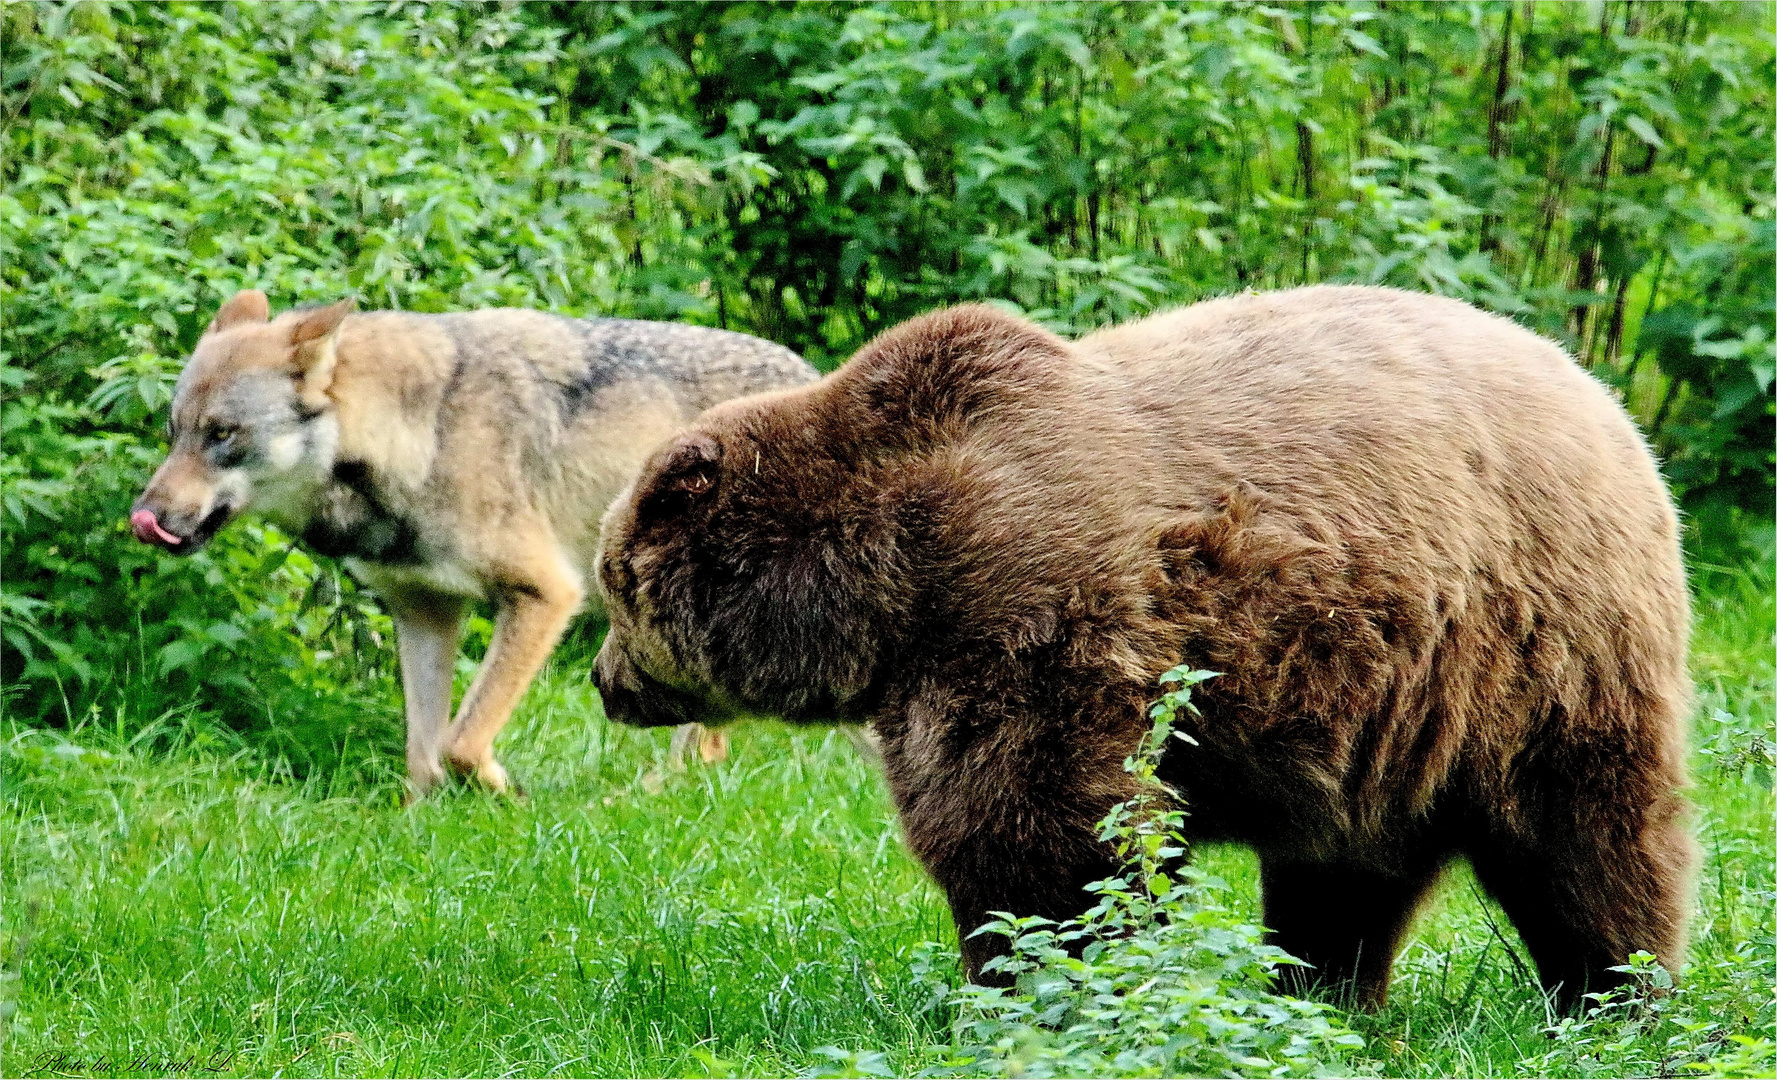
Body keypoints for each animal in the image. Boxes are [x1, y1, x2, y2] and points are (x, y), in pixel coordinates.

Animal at [135, 291, 820, 795]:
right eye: (174, 432)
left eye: (223, 434)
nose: (145, 516)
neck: (426, 432)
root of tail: (811, 372)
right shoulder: (424, 610)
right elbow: (422, 753)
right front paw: (422, 825)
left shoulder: (545, 594)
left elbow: (461, 742)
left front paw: (503, 794)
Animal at [586, 282, 1691, 1008]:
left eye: (612, 582)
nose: (603, 682)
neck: (883, 582)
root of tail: (1602, 400)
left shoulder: (1025, 611)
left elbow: (1040, 835)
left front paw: (1039, 987)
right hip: (1387, 704)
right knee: (1344, 871)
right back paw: (1320, 991)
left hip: (1538, 643)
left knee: (1586, 833)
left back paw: (1614, 994)